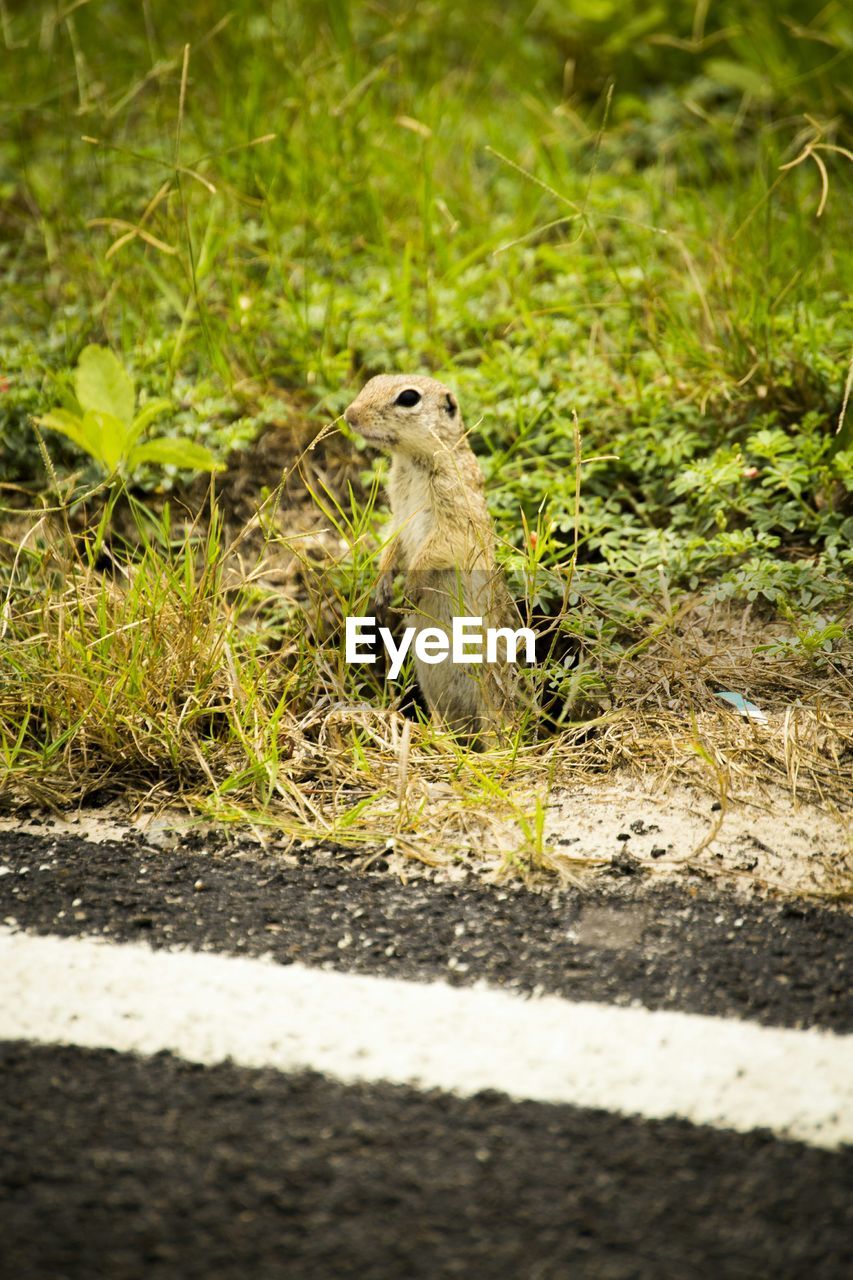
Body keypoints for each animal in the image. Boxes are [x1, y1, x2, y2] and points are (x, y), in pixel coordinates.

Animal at [343, 373, 517, 747]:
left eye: (408, 398)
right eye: (372, 380)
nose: (349, 415)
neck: (411, 461)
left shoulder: (453, 517)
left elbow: (434, 551)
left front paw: (408, 591)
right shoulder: (398, 516)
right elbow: (392, 548)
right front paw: (381, 590)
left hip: (488, 692)